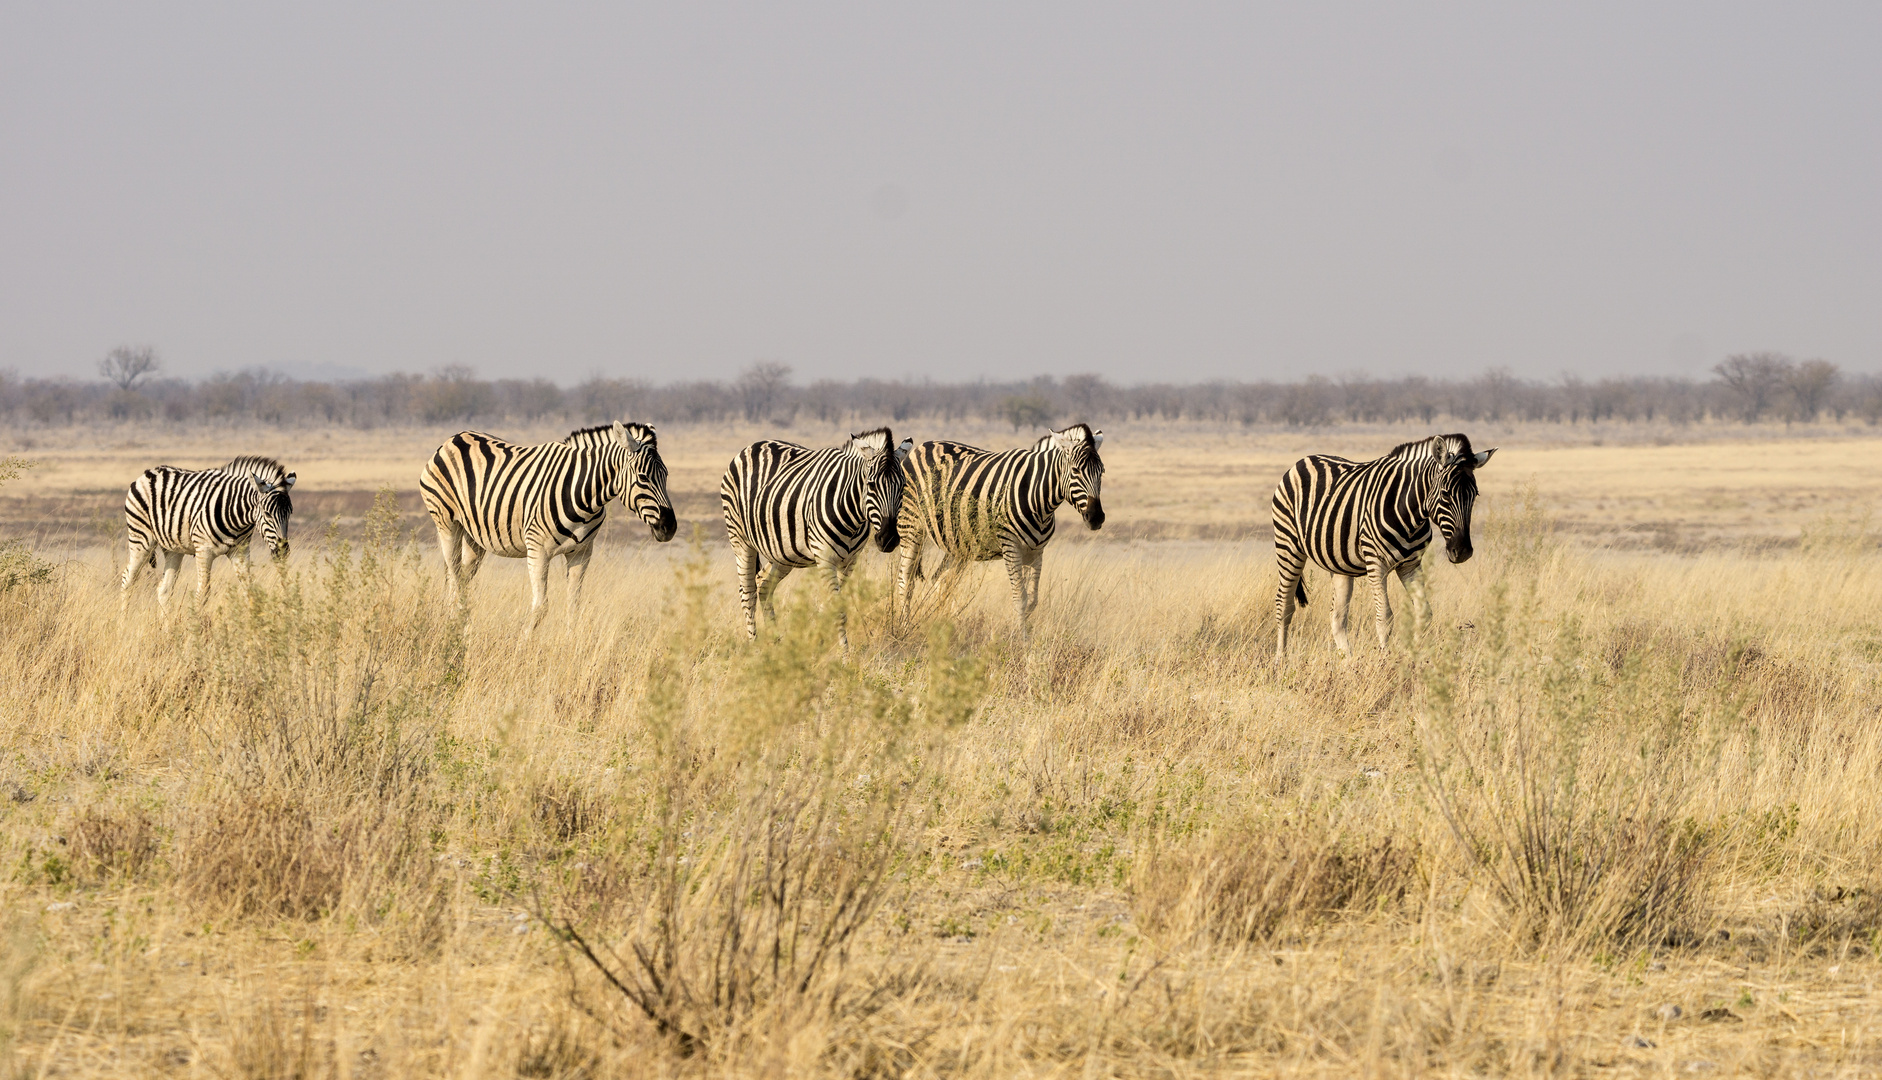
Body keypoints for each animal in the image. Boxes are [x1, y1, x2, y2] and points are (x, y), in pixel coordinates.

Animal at [121, 455, 297, 613]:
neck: (236, 517)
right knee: (127, 580)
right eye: (267, 514)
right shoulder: (203, 551)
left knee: (164, 591)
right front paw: (197, 627)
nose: (283, 552)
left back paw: (169, 627)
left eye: (290, 513)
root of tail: (148, 473)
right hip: (141, 540)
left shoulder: (240, 551)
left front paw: (254, 623)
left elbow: (249, 590)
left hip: (173, 549)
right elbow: (203, 593)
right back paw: (123, 622)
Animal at [419, 419, 677, 632]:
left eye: (666, 475)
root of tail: (455, 437)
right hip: (446, 523)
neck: (585, 496)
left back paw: (457, 626)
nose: (670, 527)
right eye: (642, 478)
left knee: (461, 581)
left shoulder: (582, 552)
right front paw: (522, 646)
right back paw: (460, 631)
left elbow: (574, 606)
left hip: (475, 537)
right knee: (455, 579)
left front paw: (571, 646)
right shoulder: (538, 550)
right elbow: (541, 606)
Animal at [715, 428, 914, 651]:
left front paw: (817, 643)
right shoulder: (825, 559)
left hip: (783, 551)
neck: (853, 514)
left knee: (764, 584)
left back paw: (777, 646)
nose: (888, 539)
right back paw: (755, 647)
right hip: (740, 539)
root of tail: (753, 446)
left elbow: (831, 607)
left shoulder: (850, 562)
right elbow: (838, 612)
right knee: (747, 592)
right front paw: (845, 656)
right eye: (870, 485)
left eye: (903, 487)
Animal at [892, 425, 1099, 635]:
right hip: (911, 525)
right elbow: (1020, 598)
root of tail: (921, 446)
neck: (1038, 499)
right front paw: (1020, 638)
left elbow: (1032, 600)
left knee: (941, 580)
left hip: (958, 544)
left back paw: (942, 626)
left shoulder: (1036, 551)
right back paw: (904, 627)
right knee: (905, 581)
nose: (1096, 517)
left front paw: (1024, 633)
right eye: (1075, 471)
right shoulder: (1010, 545)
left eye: (1102, 472)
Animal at [1264, 434, 1498, 662]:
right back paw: (1280, 660)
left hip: (1339, 564)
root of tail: (1303, 460)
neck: (1410, 513)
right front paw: (1385, 661)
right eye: (1445, 494)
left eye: (1475, 495)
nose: (1463, 551)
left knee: (1337, 616)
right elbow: (1385, 616)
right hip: (1288, 545)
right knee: (1284, 605)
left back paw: (1348, 663)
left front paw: (1415, 658)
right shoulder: (1376, 562)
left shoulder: (1410, 565)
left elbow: (1424, 612)